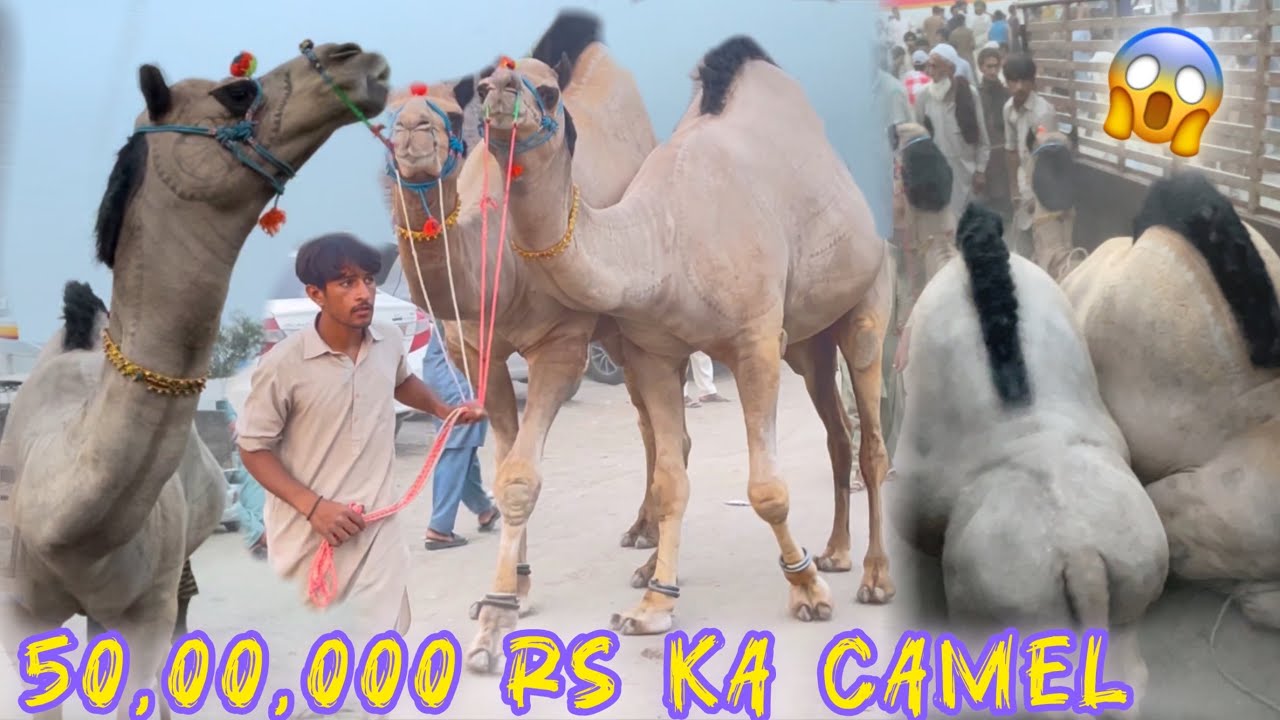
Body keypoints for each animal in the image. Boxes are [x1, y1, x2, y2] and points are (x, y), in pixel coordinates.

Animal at [378, 13, 672, 607]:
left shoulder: (560, 346)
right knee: (646, 419)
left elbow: (520, 474)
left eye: (449, 114)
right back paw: (641, 530)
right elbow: (502, 459)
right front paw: (516, 580)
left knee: (654, 419)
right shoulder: (479, 355)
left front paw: (500, 601)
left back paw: (650, 553)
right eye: (386, 118)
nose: (415, 131)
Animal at [466, 32, 894, 669]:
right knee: (837, 435)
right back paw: (837, 553)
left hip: (868, 297)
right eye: (480, 83)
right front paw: (653, 606)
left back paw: (874, 576)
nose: (496, 93)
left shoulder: (755, 341)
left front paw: (806, 589)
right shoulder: (653, 353)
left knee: (871, 440)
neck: (664, 239)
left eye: (546, 89)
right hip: (808, 344)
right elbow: (671, 481)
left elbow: (765, 490)